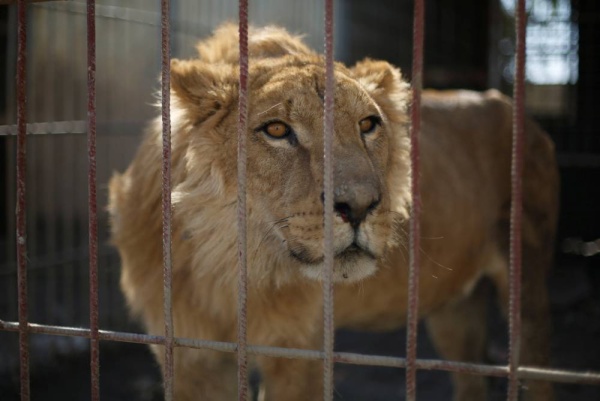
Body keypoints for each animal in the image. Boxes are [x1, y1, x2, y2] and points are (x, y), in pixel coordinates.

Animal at [106, 24, 556, 400]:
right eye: (277, 130)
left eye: (368, 124)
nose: (358, 206)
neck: (230, 268)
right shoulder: (189, 357)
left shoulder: (300, 353)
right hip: (454, 310)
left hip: (527, 286)